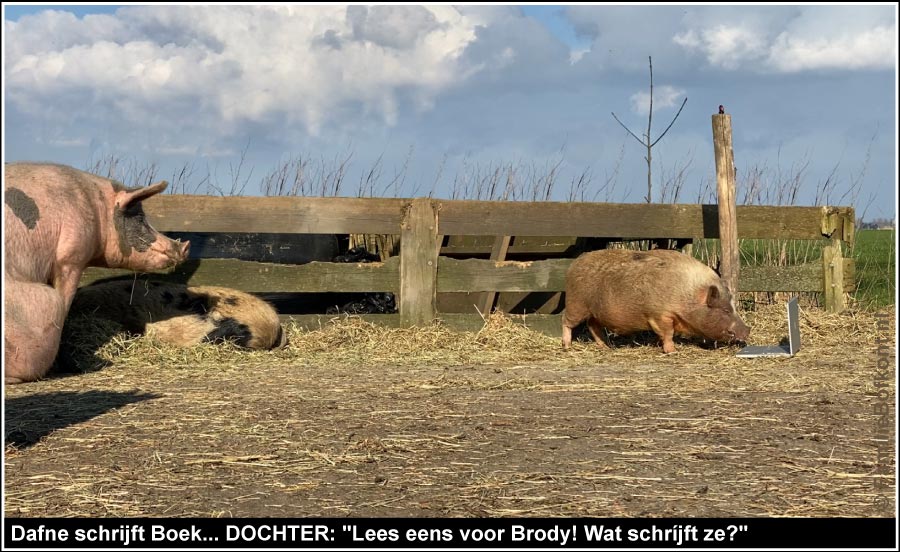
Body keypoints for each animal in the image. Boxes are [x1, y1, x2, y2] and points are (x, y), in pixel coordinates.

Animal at [3, 162, 189, 382]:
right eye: (139, 218)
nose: (185, 248)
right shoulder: (71, 259)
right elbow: (65, 308)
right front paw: (74, 368)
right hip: (44, 302)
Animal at [564, 248, 752, 352]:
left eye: (733, 307)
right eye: (725, 310)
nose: (748, 330)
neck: (687, 294)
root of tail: (575, 263)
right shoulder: (659, 314)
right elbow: (668, 333)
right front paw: (672, 351)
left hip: (595, 312)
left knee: (593, 326)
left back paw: (606, 347)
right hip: (576, 303)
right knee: (567, 321)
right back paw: (567, 346)